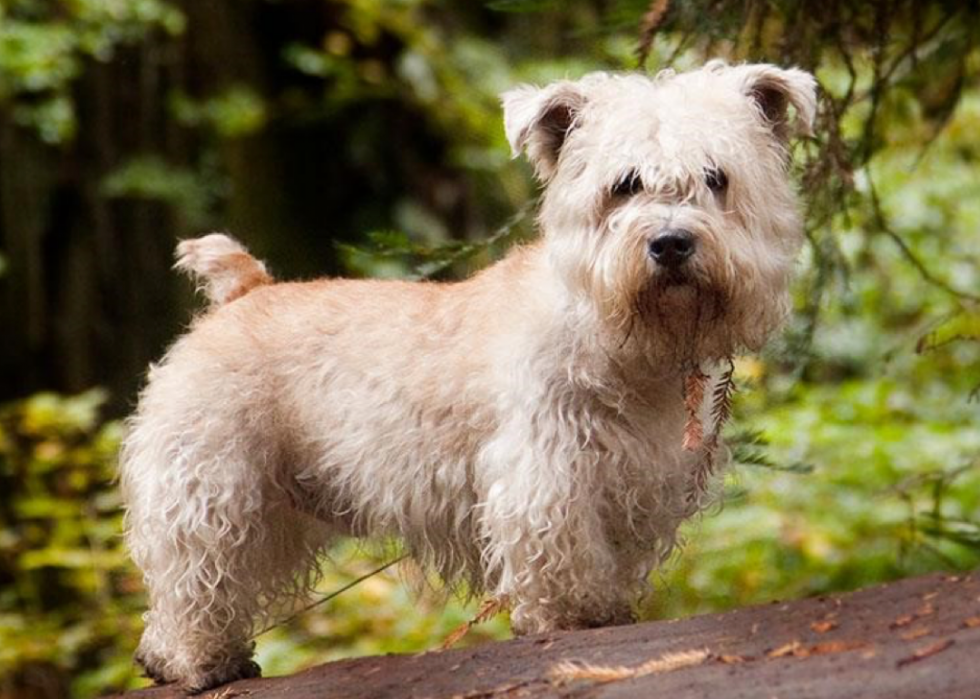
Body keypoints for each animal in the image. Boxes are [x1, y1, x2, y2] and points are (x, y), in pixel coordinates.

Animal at [118, 61, 816, 696]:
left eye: (716, 178)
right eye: (624, 184)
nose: (670, 243)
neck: (616, 336)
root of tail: (244, 291)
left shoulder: (640, 479)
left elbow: (615, 550)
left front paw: (610, 608)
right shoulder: (545, 470)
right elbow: (559, 549)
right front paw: (570, 618)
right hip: (211, 487)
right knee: (192, 578)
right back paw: (199, 662)